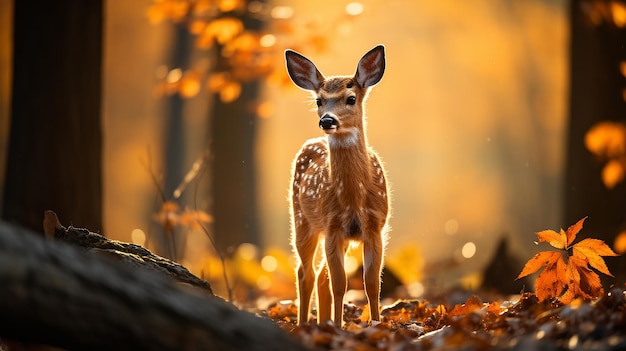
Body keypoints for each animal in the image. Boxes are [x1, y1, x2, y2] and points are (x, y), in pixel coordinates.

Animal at [286, 45, 388, 326]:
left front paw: (376, 323)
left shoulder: (375, 227)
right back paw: (304, 325)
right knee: (306, 272)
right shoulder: (332, 226)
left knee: (320, 275)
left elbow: (371, 283)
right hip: (302, 220)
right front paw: (340, 326)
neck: (354, 198)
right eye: (319, 101)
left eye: (351, 99)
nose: (327, 121)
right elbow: (340, 284)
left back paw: (322, 324)